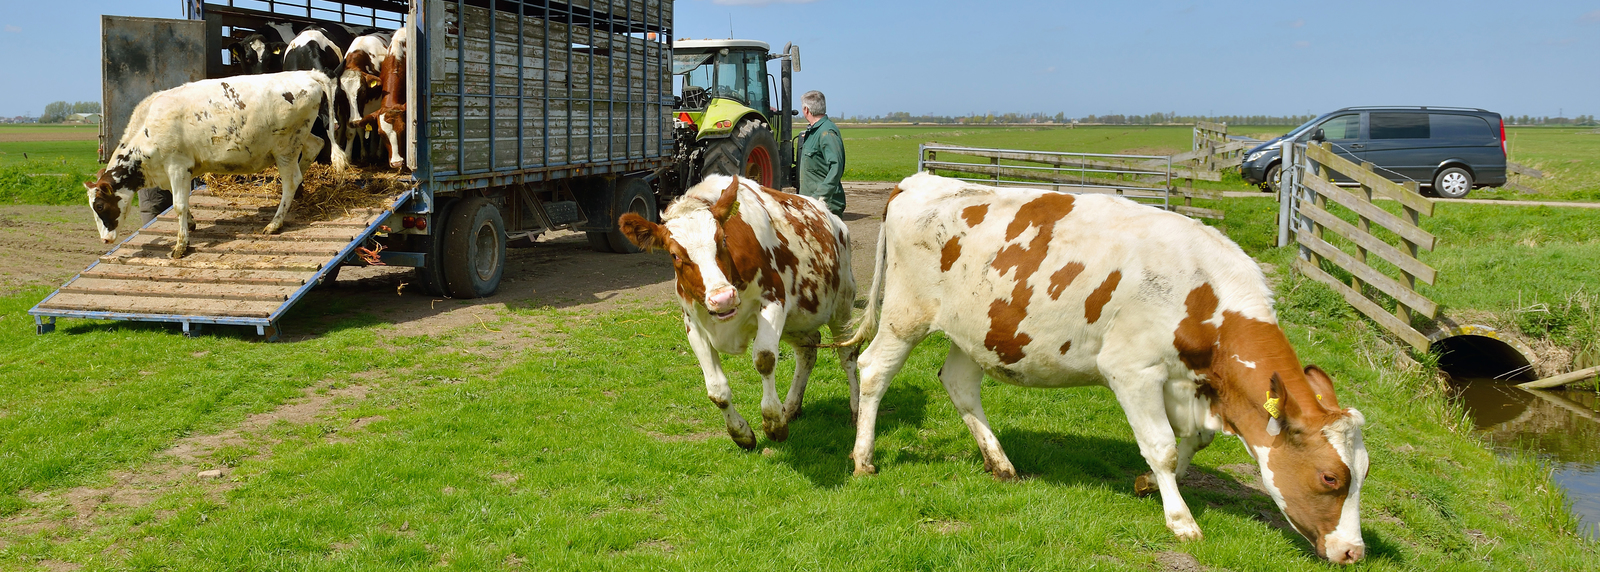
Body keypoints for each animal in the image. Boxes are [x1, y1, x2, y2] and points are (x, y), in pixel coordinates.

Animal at [86, 71, 339, 258]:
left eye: (99, 205)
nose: (104, 239)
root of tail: (306, 74)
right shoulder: (170, 173)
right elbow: (181, 203)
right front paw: (191, 224)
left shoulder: (177, 166)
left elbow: (179, 205)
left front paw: (181, 245)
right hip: (298, 139)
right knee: (315, 146)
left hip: (285, 147)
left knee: (291, 180)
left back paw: (276, 222)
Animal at [614, 176, 864, 450]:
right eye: (675, 255)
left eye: (723, 240)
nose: (722, 298)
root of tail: (832, 217)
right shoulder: (693, 325)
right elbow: (717, 390)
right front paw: (740, 432)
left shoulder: (773, 302)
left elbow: (764, 360)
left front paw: (774, 422)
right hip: (795, 321)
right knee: (807, 350)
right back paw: (791, 406)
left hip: (841, 306)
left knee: (848, 355)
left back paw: (856, 409)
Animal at [844, 170, 1369, 562]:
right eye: (1331, 478)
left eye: (1363, 472)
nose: (1353, 552)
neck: (1201, 289)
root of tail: (917, 181)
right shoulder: (1133, 370)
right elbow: (1161, 446)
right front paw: (1181, 521)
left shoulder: (1187, 385)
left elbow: (1191, 442)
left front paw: (1150, 485)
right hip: (906, 314)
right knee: (872, 370)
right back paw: (864, 460)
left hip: (978, 332)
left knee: (958, 384)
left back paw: (1001, 463)